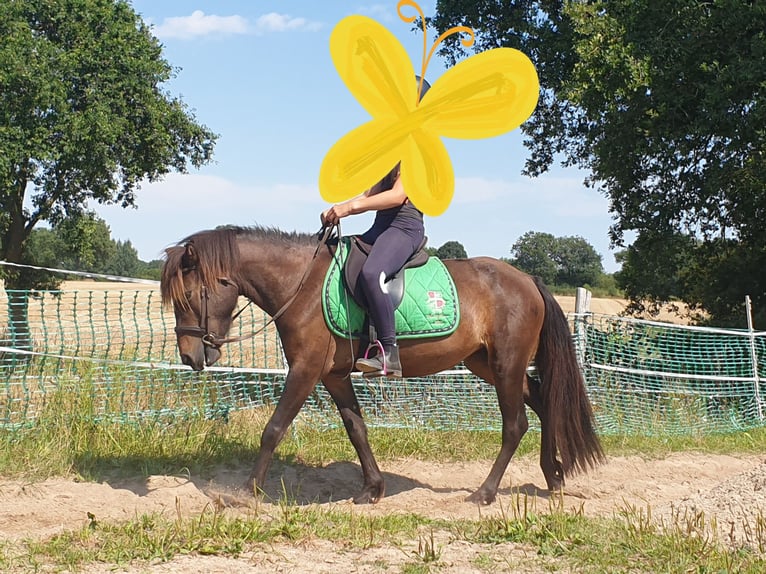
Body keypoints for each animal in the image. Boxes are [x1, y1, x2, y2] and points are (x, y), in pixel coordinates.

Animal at [160, 225, 604, 505]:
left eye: (190, 296)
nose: (189, 357)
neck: (301, 285)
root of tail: (527, 279)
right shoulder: (333, 375)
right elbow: (356, 429)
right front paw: (372, 488)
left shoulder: (305, 371)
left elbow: (274, 429)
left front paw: (246, 491)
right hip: (487, 364)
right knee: (544, 405)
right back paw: (553, 476)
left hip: (506, 365)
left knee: (516, 425)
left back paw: (486, 492)